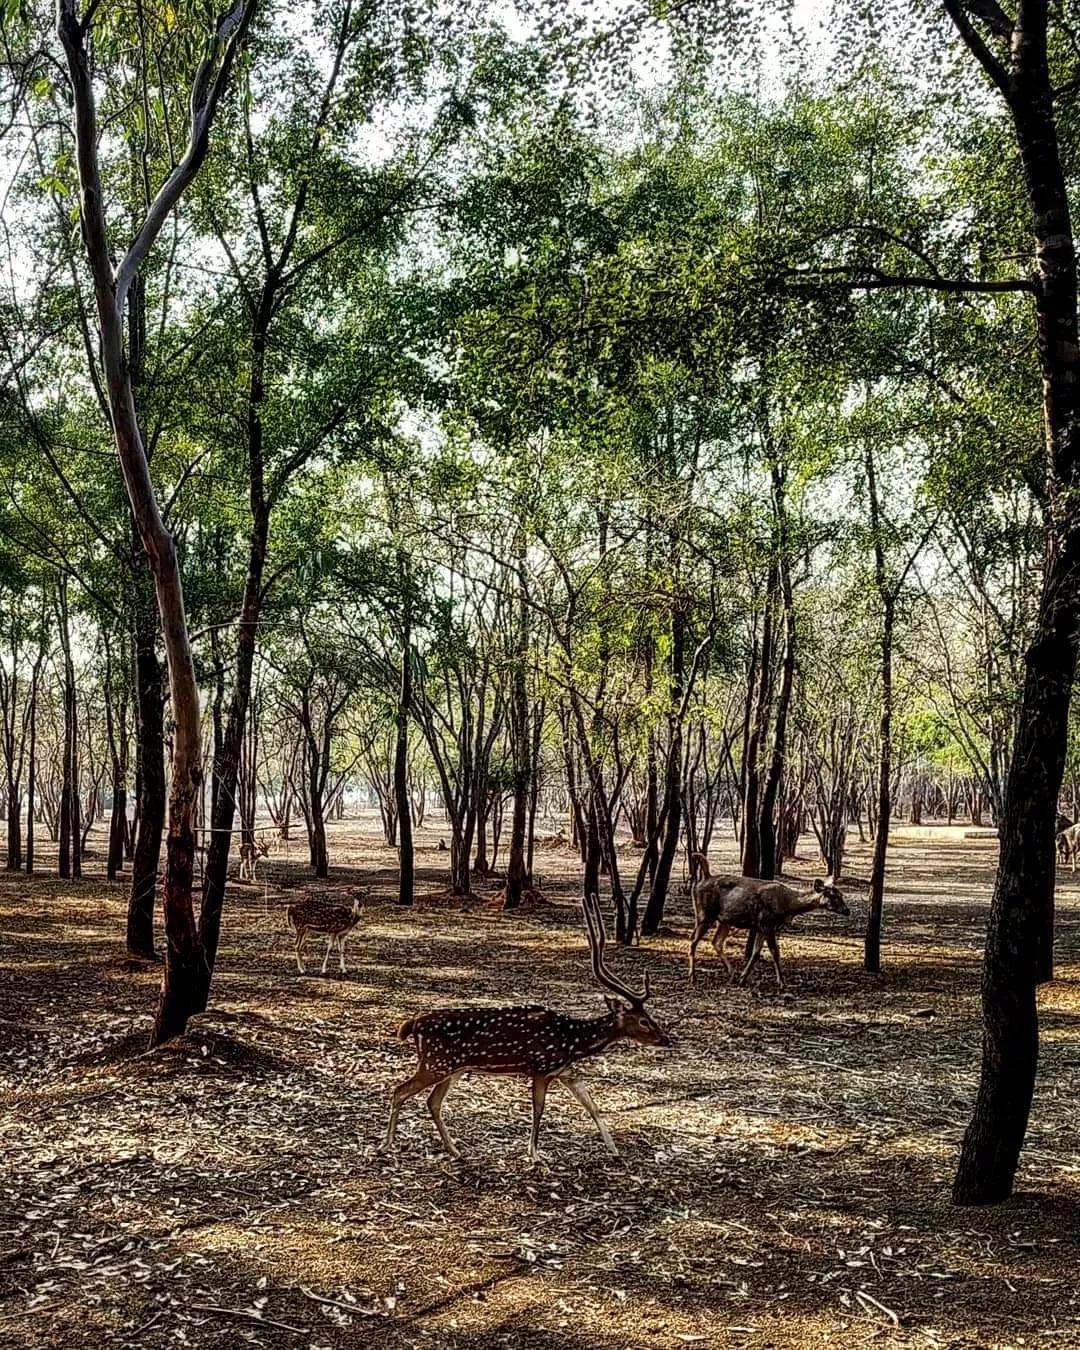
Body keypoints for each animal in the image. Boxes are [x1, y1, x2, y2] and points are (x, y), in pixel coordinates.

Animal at [380, 891, 666, 1166]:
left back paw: (455, 1150)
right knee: (399, 1090)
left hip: (453, 1069)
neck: (573, 1041)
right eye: (643, 1020)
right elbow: (538, 1109)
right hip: (434, 1063)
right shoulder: (541, 1068)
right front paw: (534, 1154)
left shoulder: (565, 1071)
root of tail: (414, 1023)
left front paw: (615, 1151)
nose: (665, 1038)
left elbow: (592, 1106)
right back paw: (387, 1144)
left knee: (433, 1101)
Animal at [688, 853, 847, 993]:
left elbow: (756, 953)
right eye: (832, 895)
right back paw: (693, 977)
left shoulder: (761, 927)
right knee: (693, 940)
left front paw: (742, 978)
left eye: (841, 894)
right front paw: (782, 983)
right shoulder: (767, 923)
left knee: (716, 942)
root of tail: (704, 879)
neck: (787, 905)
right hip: (705, 914)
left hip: (725, 920)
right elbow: (775, 953)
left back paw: (732, 975)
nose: (847, 910)